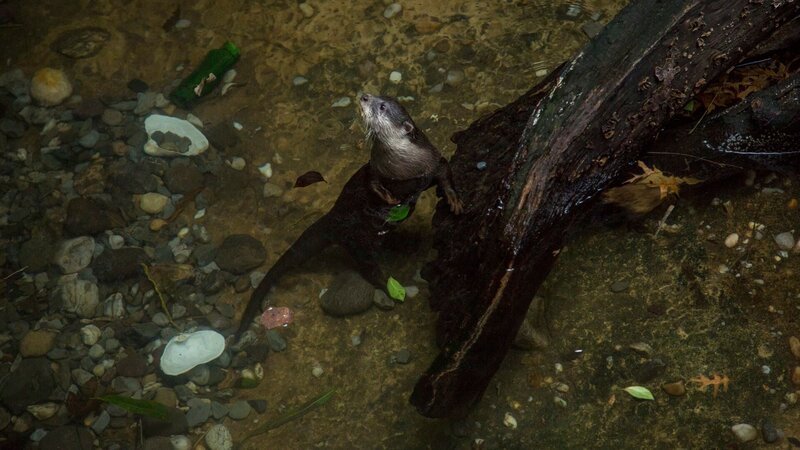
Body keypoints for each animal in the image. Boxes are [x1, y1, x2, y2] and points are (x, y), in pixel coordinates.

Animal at [235, 94, 462, 339]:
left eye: (382, 106)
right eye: (375, 96)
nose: (364, 96)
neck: (402, 168)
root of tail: (332, 218)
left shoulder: (430, 163)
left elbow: (445, 172)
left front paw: (455, 201)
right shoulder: (374, 171)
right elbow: (373, 185)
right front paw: (389, 200)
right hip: (358, 241)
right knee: (369, 268)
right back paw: (388, 285)